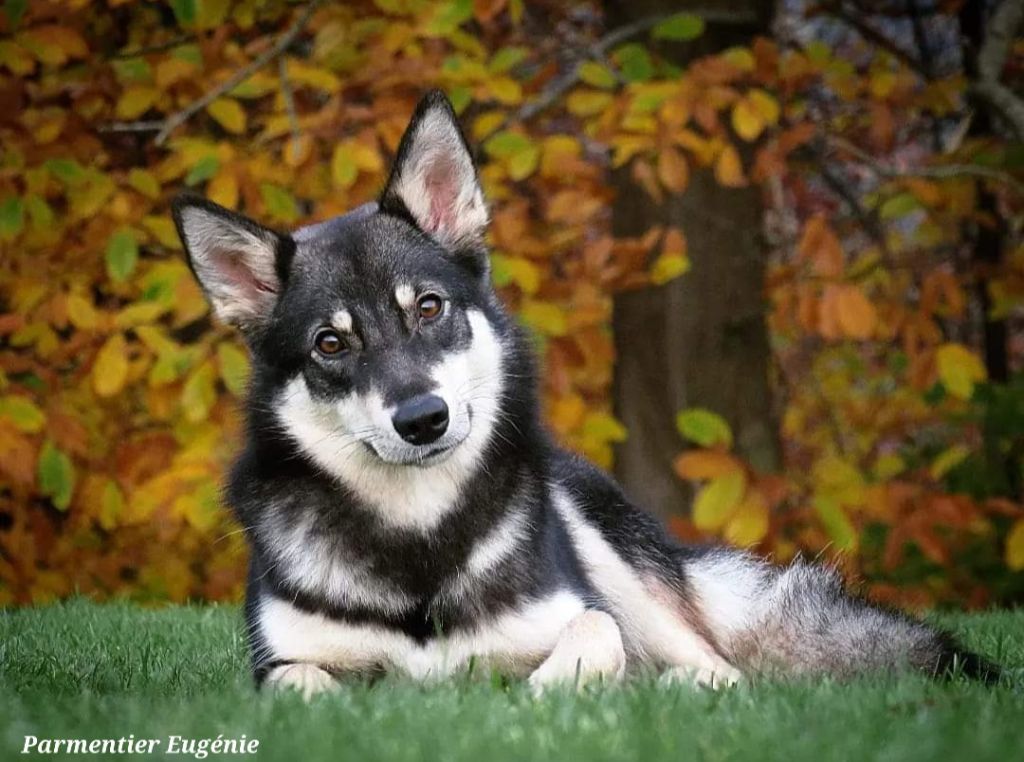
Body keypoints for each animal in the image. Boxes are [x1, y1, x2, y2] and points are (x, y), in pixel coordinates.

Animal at [169, 89, 999, 696]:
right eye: (331, 345)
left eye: (429, 308)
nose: (423, 418)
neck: (420, 542)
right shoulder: (276, 663)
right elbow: (305, 685)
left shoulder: (581, 612)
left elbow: (592, 641)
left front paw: (543, 699)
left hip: (604, 543)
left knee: (721, 669)